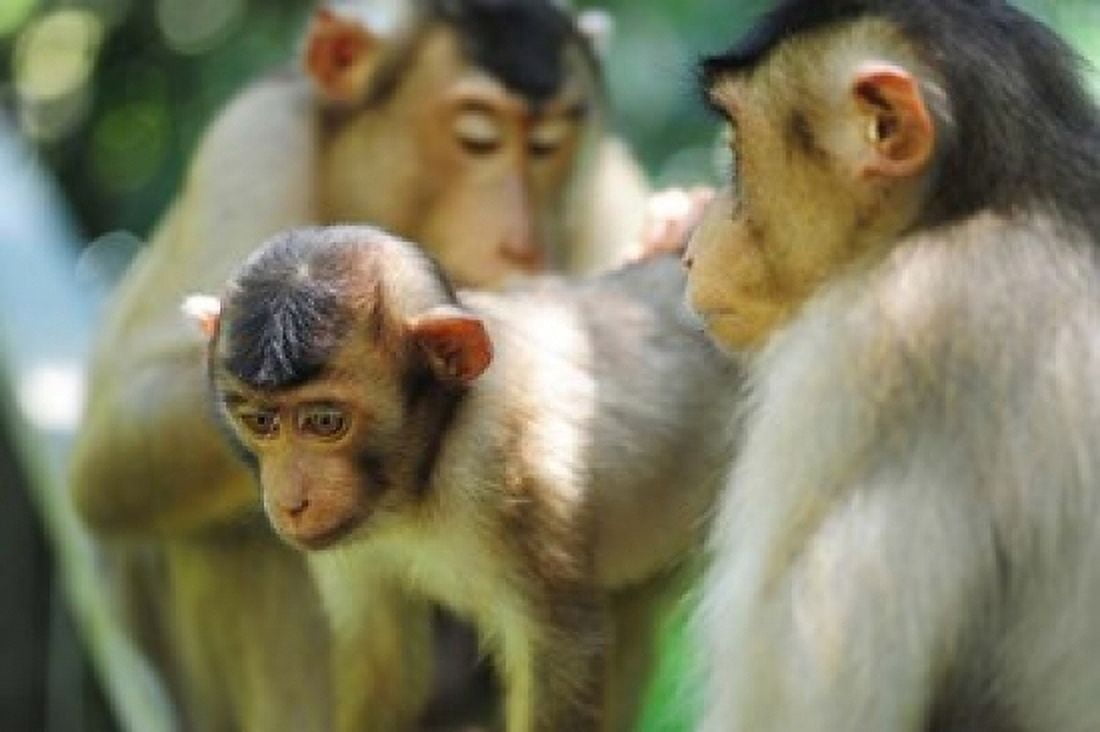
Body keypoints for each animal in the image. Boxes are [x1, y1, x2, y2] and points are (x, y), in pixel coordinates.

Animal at [67, 2, 653, 729]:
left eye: (547, 147)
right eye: (478, 139)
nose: (519, 244)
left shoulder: (603, 183)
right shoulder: (254, 137)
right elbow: (112, 453)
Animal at [188, 224, 739, 731]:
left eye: (324, 422)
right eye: (260, 422)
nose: (290, 501)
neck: (419, 473)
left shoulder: (510, 467)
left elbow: (561, 651)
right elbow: (382, 660)